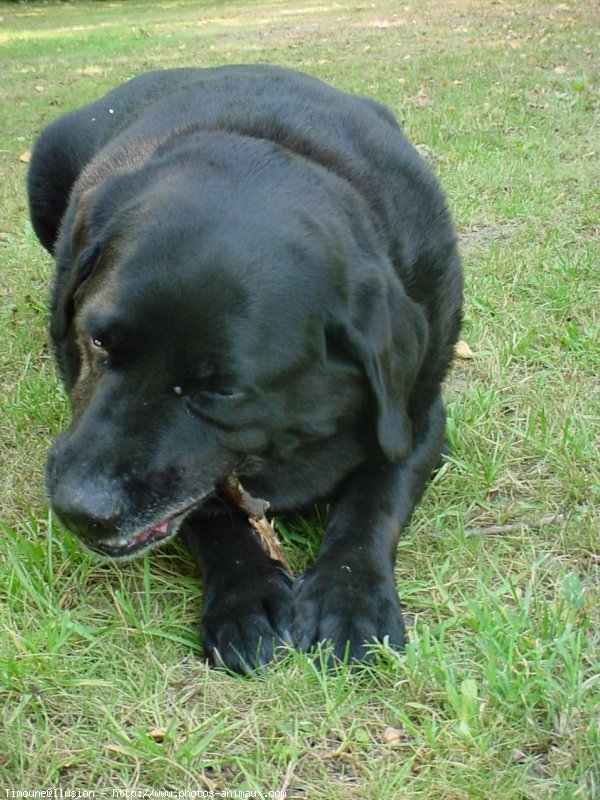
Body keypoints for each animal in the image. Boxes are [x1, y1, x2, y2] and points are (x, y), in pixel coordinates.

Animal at [28, 65, 464, 672]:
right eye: (96, 338)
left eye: (223, 391)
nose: (78, 509)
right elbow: (211, 513)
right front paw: (246, 595)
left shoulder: (419, 416)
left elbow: (374, 501)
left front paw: (349, 596)